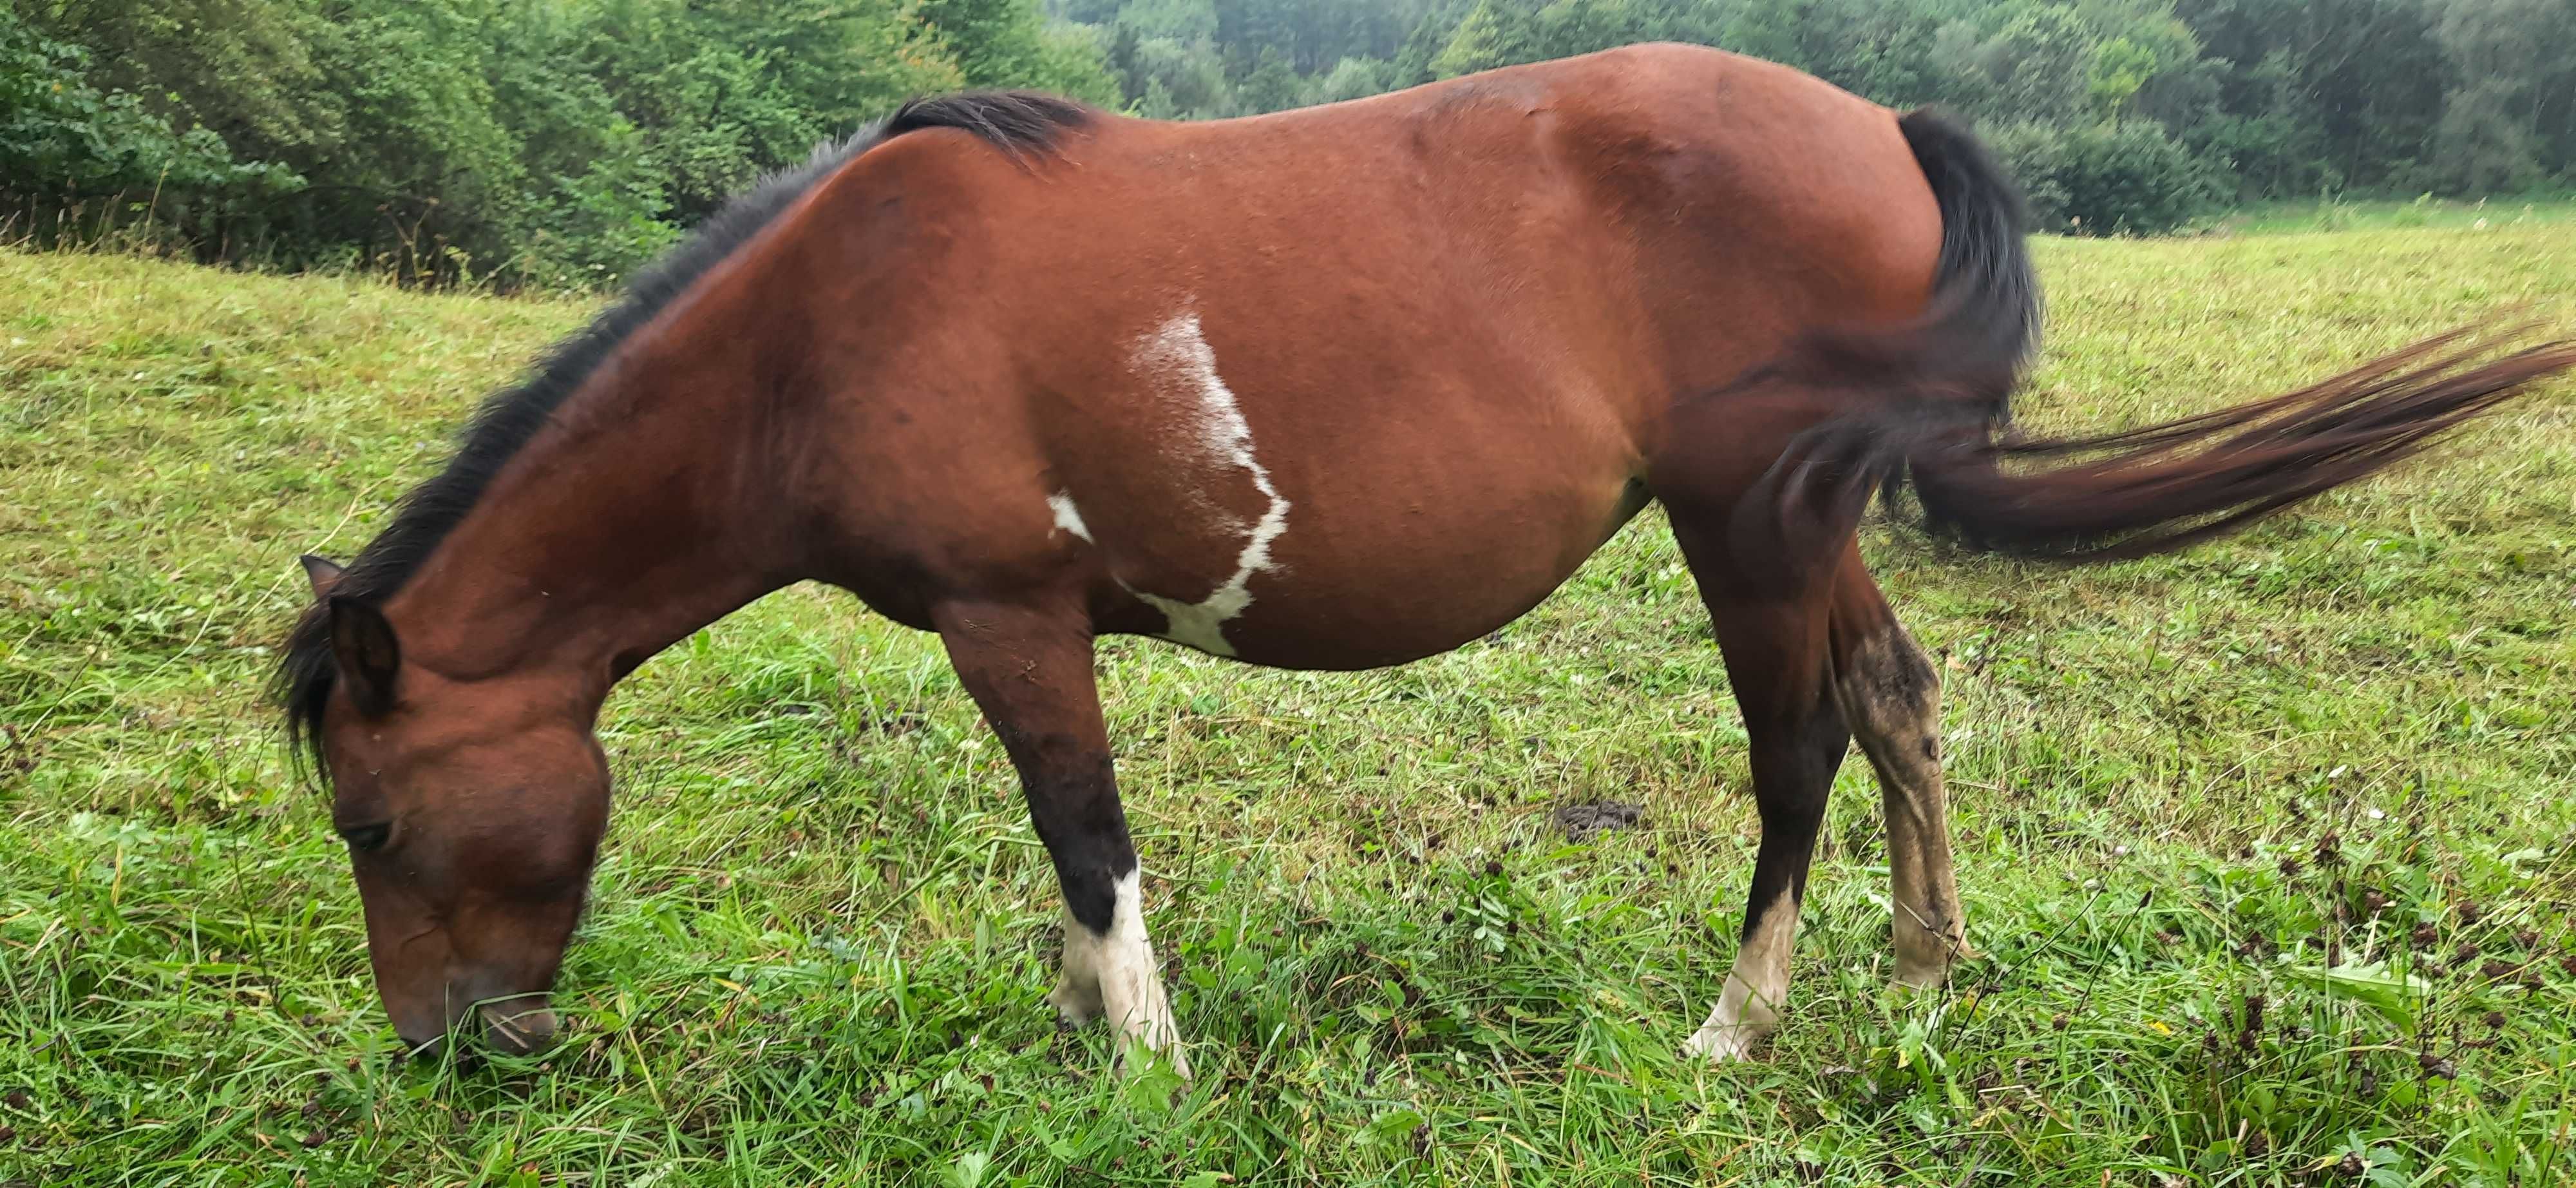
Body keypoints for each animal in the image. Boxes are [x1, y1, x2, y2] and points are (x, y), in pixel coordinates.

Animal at [272, 44, 2566, 1072]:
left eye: (374, 825)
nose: (446, 1050)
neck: (822, 326)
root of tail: (1873, 125)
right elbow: (1064, 848)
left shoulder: (1011, 616)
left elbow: (1085, 831)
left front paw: (1141, 1058)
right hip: (1810, 521)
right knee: (1900, 701)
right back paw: (1920, 970)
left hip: (1748, 524)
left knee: (1800, 746)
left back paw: (1738, 1023)